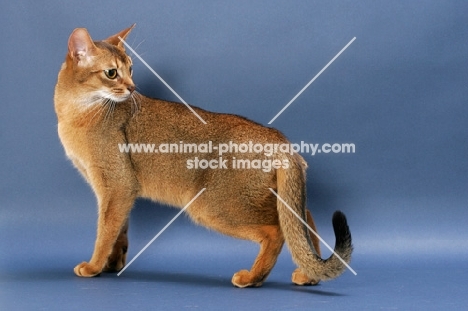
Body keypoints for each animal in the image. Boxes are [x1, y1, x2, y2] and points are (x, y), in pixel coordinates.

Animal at [54, 25, 352, 288]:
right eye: (112, 73)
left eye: (130, 70)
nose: (132, 87)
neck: (74, 112)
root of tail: (279, 140)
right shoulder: (120, 192)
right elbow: (119, 231)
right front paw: (111, 265)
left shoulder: (116, 185)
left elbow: (105, 231)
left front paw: (93, 266)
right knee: (302, 218)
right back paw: (308, 275)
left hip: (213, 205)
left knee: (276, 231)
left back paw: (252, 278)